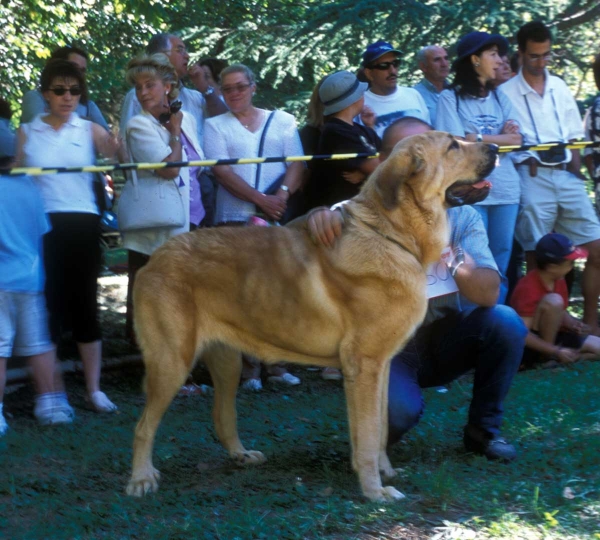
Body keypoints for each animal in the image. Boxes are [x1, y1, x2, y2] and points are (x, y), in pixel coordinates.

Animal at [127, 132, 496, 502]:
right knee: (143, 425)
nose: (494, 147)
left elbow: (377, 427)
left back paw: (241, 455)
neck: (391, 234)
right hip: (172, 361)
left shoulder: (381, 366)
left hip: (226, 361)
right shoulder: (365, 365)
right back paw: (141, 478)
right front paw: (374, 491)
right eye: (452, 146)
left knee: (222, 415)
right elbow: (368, 432)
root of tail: (155, 258)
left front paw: (385, 472)